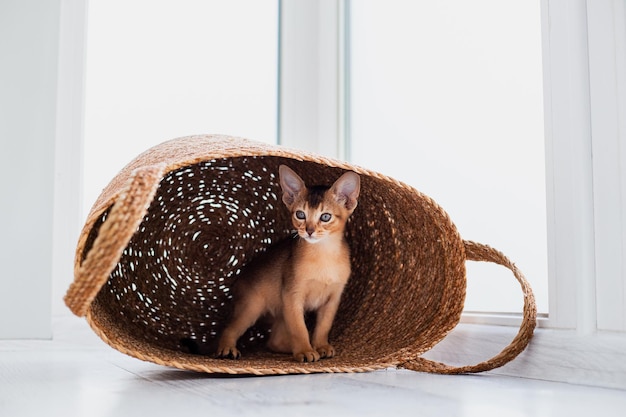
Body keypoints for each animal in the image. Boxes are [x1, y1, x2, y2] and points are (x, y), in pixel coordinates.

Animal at [216, 165, 358, 360]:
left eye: (325, 217)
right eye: (300, 214)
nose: (309, 231)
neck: (323, 255)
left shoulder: (332, 298)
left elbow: (323, 326)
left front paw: (321, 346)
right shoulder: (292, 295)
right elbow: (299, 329)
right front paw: (305, 351)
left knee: (273, 341)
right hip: (251, 306)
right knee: (229, 329)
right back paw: (227, 349)